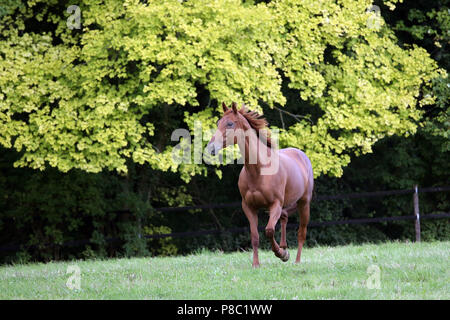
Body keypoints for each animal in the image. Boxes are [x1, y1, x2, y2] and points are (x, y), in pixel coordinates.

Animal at [207, 102, 312, 268]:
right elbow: (255, 236)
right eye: (218, 123)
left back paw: (296, 260)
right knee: (285, 218)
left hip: (304, 203)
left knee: (301, 232)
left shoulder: (275, 204)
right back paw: (284, 247)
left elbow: (269, 230)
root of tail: (301, 155)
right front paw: (256, 264)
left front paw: (281, 254)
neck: (258, 170)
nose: (210, 148)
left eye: (230, 124)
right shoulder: (249, 207)